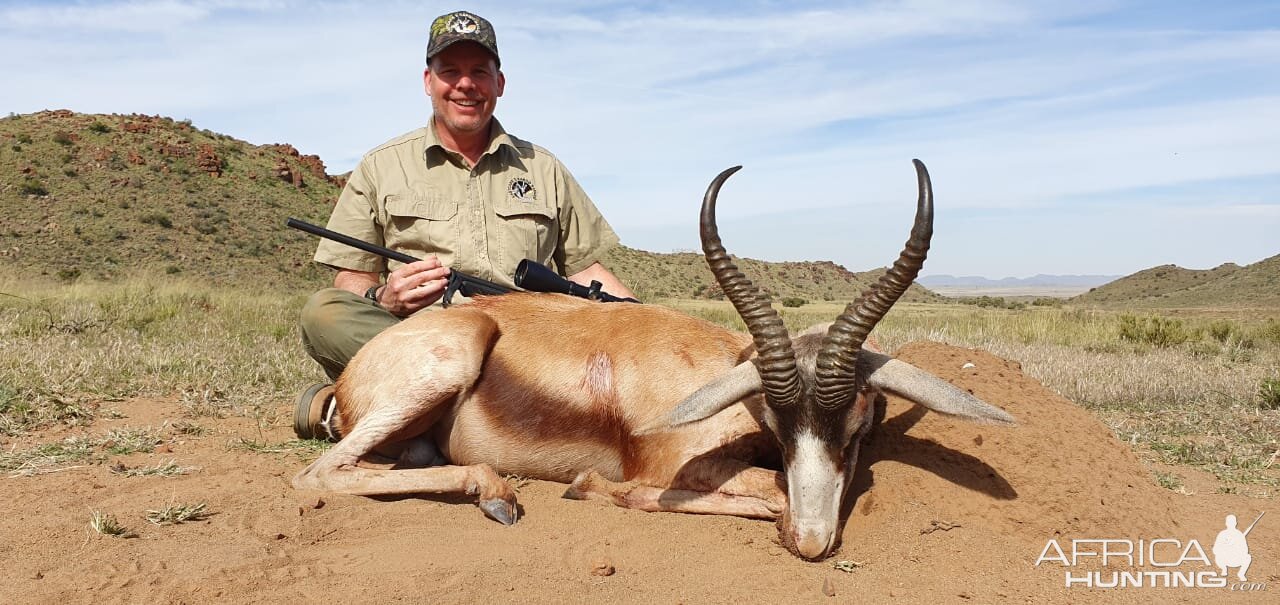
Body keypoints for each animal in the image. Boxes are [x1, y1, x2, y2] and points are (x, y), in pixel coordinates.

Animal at [293, 159, 1018, 557]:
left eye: (859, 421)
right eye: (777, 420)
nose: (813, 543)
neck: (721, 375)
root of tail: (346, 386)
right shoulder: (668, 465)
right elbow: (767, 490)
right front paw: (591, 487)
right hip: (450, 360)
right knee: (318, 474)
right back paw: (498, 494)